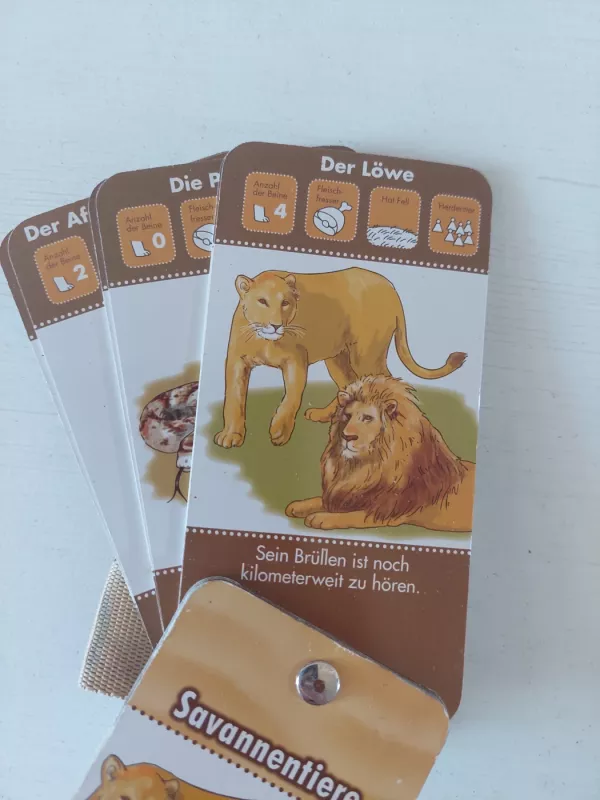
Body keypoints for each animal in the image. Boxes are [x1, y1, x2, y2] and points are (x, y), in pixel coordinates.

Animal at [215, 267, 466, 449]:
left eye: (285, 303)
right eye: (262, 301)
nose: (276, 325)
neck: (265, 339)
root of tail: (390, 287)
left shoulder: (296, 361)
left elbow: (291, 399)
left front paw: (279, 430)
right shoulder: (237, 361)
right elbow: (234, 399)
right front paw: (231, 435)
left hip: (366, 356)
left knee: (385, 382)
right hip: (338, 358)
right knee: (350, 385)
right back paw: (327, 415)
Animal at [285, 375, 475, 531]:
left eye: (367, 418)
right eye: (347, 416)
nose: (346, 436)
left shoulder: (384, 513)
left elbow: (348, 517)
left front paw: (320, 518)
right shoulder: (347, 496)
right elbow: (321, 500)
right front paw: (297, 506)